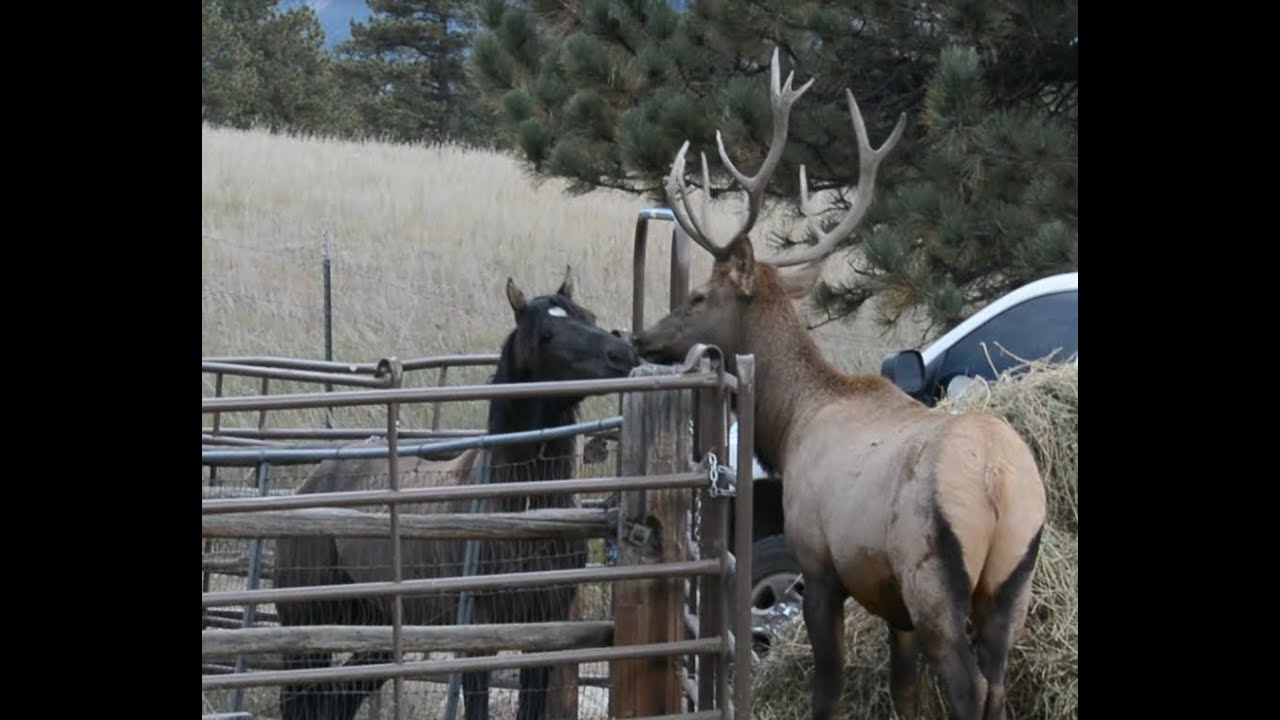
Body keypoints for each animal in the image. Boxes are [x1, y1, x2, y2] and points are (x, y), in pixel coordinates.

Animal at [273, 268, 641, 720]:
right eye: (546, 333)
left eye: (588, 315)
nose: (622, 353)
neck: (519, 509)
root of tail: (313, 480)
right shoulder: (477, 638)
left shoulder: (543, 633)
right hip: (305, 631)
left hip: (376, 632)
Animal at [630, 48, 1047, 720]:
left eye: (697, 297)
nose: (642, 337)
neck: (790, 426)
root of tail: (999, 485)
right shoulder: (890, 600)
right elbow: (904, 691)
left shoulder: (820, 563)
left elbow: (828, 685)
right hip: (1014, 578)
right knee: (997, 685)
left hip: (932, 572)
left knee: (967, 687)